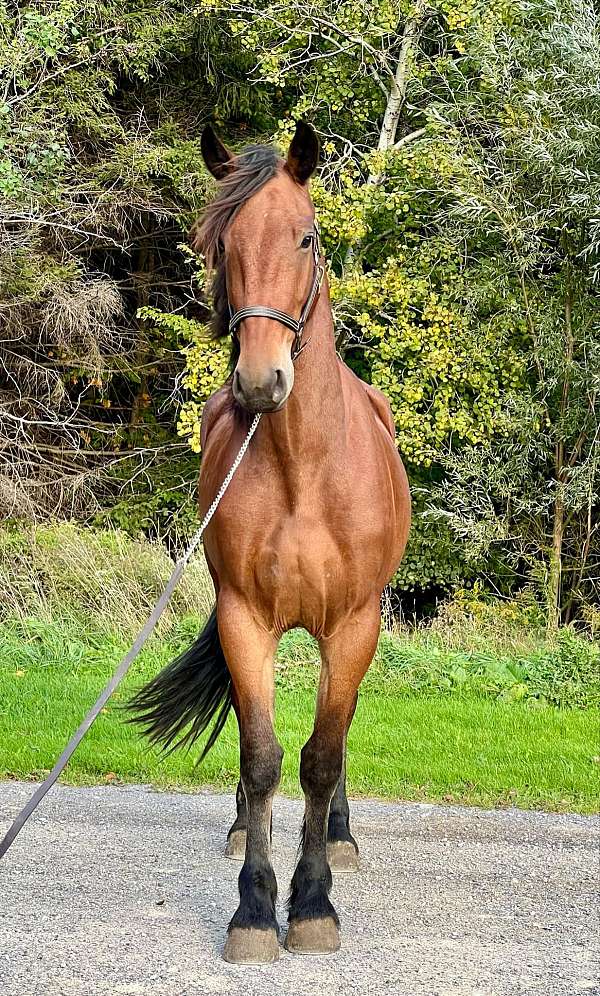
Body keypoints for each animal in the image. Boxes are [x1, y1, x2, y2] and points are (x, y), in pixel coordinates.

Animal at [130, 118, 412, 964]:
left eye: (306, 237)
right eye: (221, 244)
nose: (260, 381)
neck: (302, 470)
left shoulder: (352, 626)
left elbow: (321, 757)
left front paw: (312, 902)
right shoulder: (245, 620)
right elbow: (261, 760)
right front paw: (255, 910)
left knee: (336, 742)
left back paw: (342, 838)